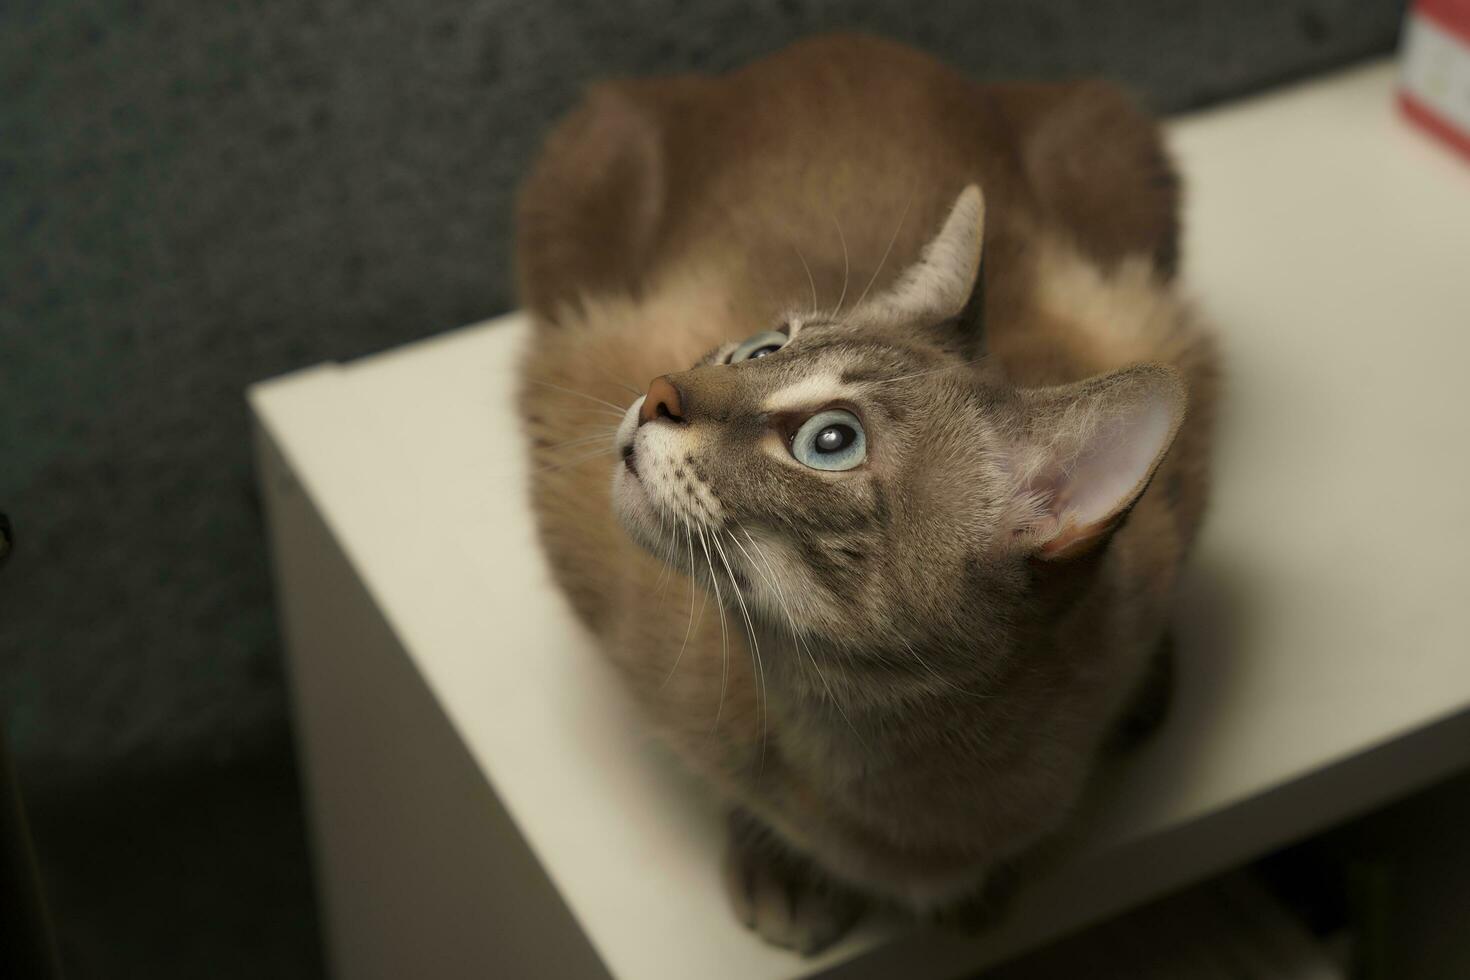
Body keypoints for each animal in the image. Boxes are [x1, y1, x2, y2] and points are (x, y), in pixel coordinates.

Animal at [514, 34, 1217, 952]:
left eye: (831, 442)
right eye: (761, 347)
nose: (660, 390)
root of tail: (836, 38)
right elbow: (735, 789)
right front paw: (782, 861)